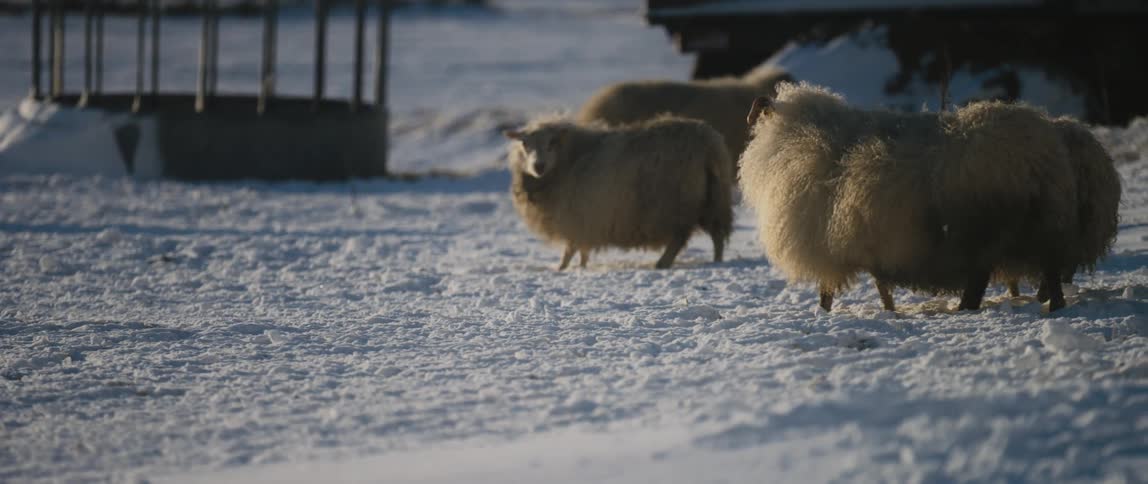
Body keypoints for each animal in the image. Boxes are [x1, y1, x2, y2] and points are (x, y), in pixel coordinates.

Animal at [505, 115, 734, 270]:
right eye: (524, 143)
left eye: (552, 142)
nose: (539, 166)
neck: (569, 159)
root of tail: (707, 141)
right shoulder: (584, 219)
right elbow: (581, 250)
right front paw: (580, 267)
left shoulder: (577, 216)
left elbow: (571, 249)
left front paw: (562, 269)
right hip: (713, 199)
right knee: (717, 234)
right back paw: (717, 261)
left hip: (677, 203)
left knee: (680, 238)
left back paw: (663, 263)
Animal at [739, 83, 1080, 312]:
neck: (798, 135)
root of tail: (1047, 139)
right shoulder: (862, 241)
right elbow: (880, 284)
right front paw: (889, 311)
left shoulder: (827, 242)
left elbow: (828, 291)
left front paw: (823, 313)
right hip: (1034, 225)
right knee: (1041, 272)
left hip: (994, 227)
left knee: (1001, 276)